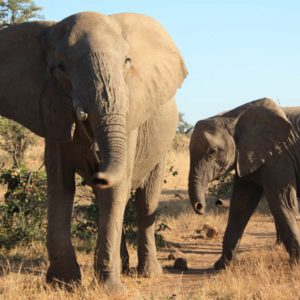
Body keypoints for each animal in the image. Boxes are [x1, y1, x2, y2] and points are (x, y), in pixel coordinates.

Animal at [0, 12, 188, 292]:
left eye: (126, 61)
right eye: (61, 68)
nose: (96, 173)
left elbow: (116, 190)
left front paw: (111, 289)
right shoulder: (53, 113)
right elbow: (60, 186)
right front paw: (63, 284)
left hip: (163, 143)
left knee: (145, 201)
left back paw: (149, 273)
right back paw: (124, 267)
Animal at [189, 98, 300, 270]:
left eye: (212, 151)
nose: (200, 207)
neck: (232, 117)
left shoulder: (279, 156)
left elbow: (282, 200)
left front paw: (296, 264)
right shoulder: (247, 156)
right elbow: (241, 204)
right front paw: (221, 266)